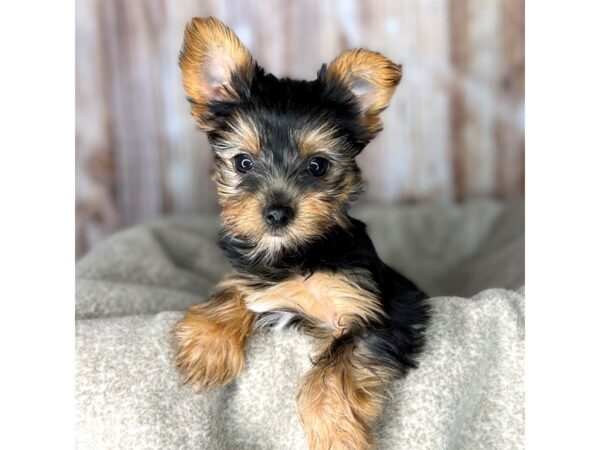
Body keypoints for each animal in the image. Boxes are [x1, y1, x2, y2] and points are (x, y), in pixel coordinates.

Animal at [171, 17, 428, 450]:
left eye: (317, 166)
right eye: (243, 163)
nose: (277, 213)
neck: (294, 253)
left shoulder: (381, 311)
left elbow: (333, 368)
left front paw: (337, 434)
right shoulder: (261, 281)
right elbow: (238, 288)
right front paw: (208, 345)